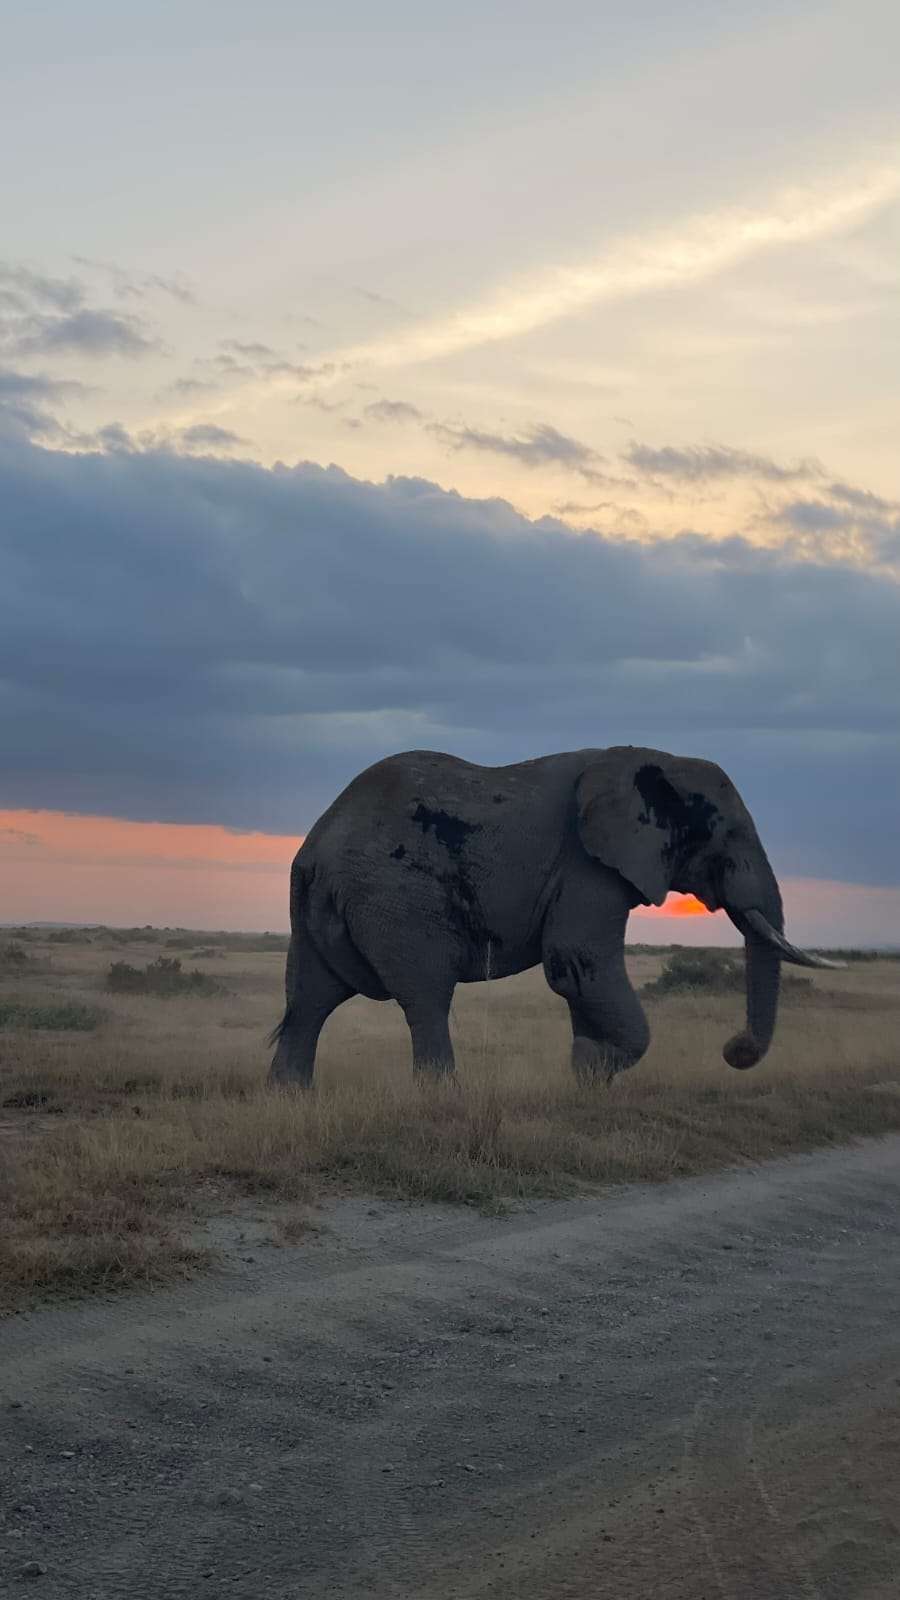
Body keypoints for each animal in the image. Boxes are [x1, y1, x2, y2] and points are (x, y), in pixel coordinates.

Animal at [268, 746, 839, 1087]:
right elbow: (578, 961)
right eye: (729, 833)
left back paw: (290, 1100)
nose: (733, 1049)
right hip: (395, 897)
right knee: (425, 997)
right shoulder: (586, 863)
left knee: (309, 999)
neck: (656, 759)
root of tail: (315, 846)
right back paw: (442, 1098)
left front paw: (586, 1077)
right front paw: (592, 1067)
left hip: (322, 911)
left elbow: (579, 975)